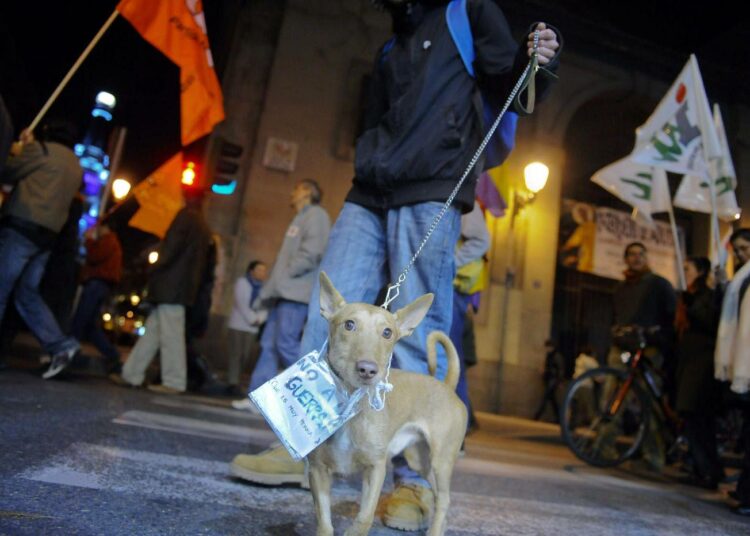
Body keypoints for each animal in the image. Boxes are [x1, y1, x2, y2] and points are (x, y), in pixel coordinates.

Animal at [308, 274, 468, 532]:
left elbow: (363, 518)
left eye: (387, 333)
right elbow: (324, 523)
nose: (367, 369)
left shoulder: (375, 469)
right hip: (420, 461)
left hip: (441, 461)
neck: (352, 403)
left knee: (444, 499)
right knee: (438, 497)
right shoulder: (318, 471)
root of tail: (447, 386)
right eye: (349, 325)